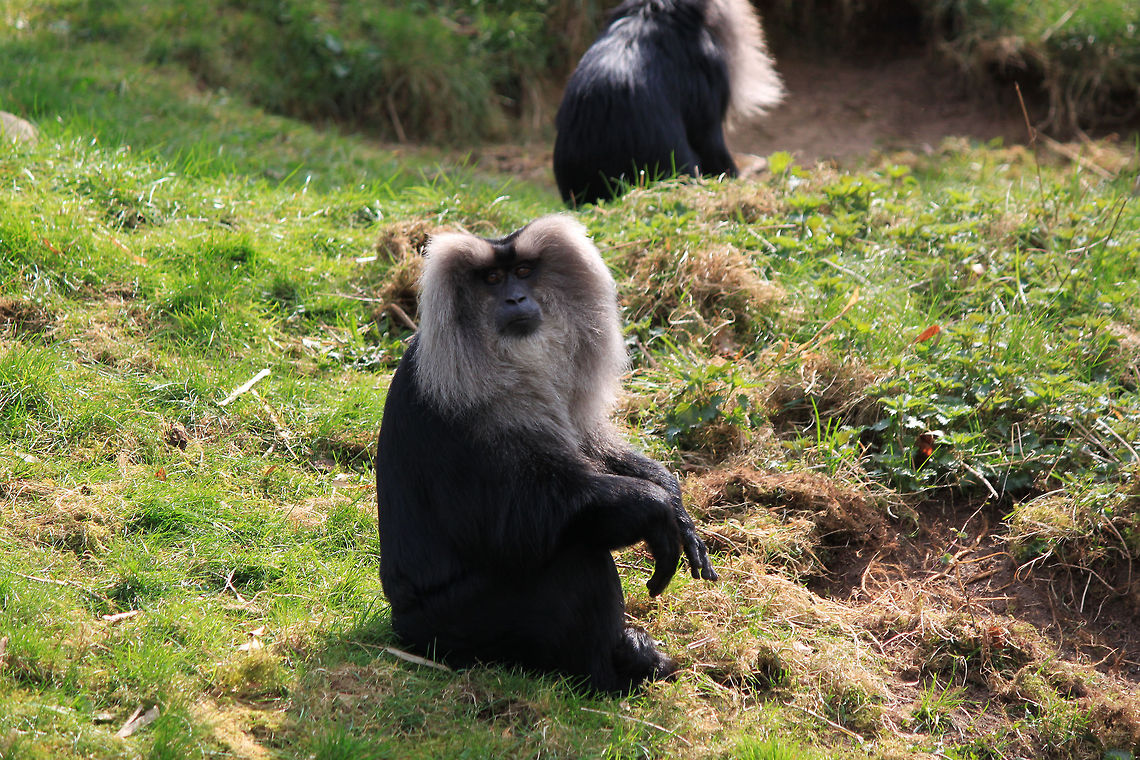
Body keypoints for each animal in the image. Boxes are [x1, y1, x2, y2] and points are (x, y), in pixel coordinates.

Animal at [375, 215, 717, 695]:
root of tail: (401, 622)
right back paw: (612, 673)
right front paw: (653, 508)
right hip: (455, 623)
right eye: (492, 279)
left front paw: (675, 504)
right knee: (573, 555)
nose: (516, 298)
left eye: (523, 272)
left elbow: (589, 448)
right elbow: (512, 525)